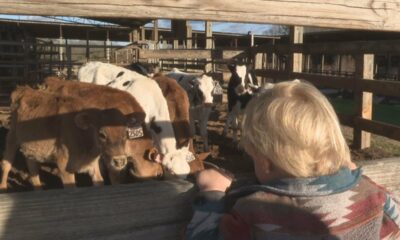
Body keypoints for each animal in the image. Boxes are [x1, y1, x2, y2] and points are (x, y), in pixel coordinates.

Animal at [0, 83, 148, 190]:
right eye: (102, 134)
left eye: (125, 133)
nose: (120, 161)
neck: (84, 137)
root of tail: (23, 89)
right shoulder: (63, 167)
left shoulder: (93, 165)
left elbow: (99, 181)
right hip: (12, 137)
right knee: (6, 164)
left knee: (32, 167)